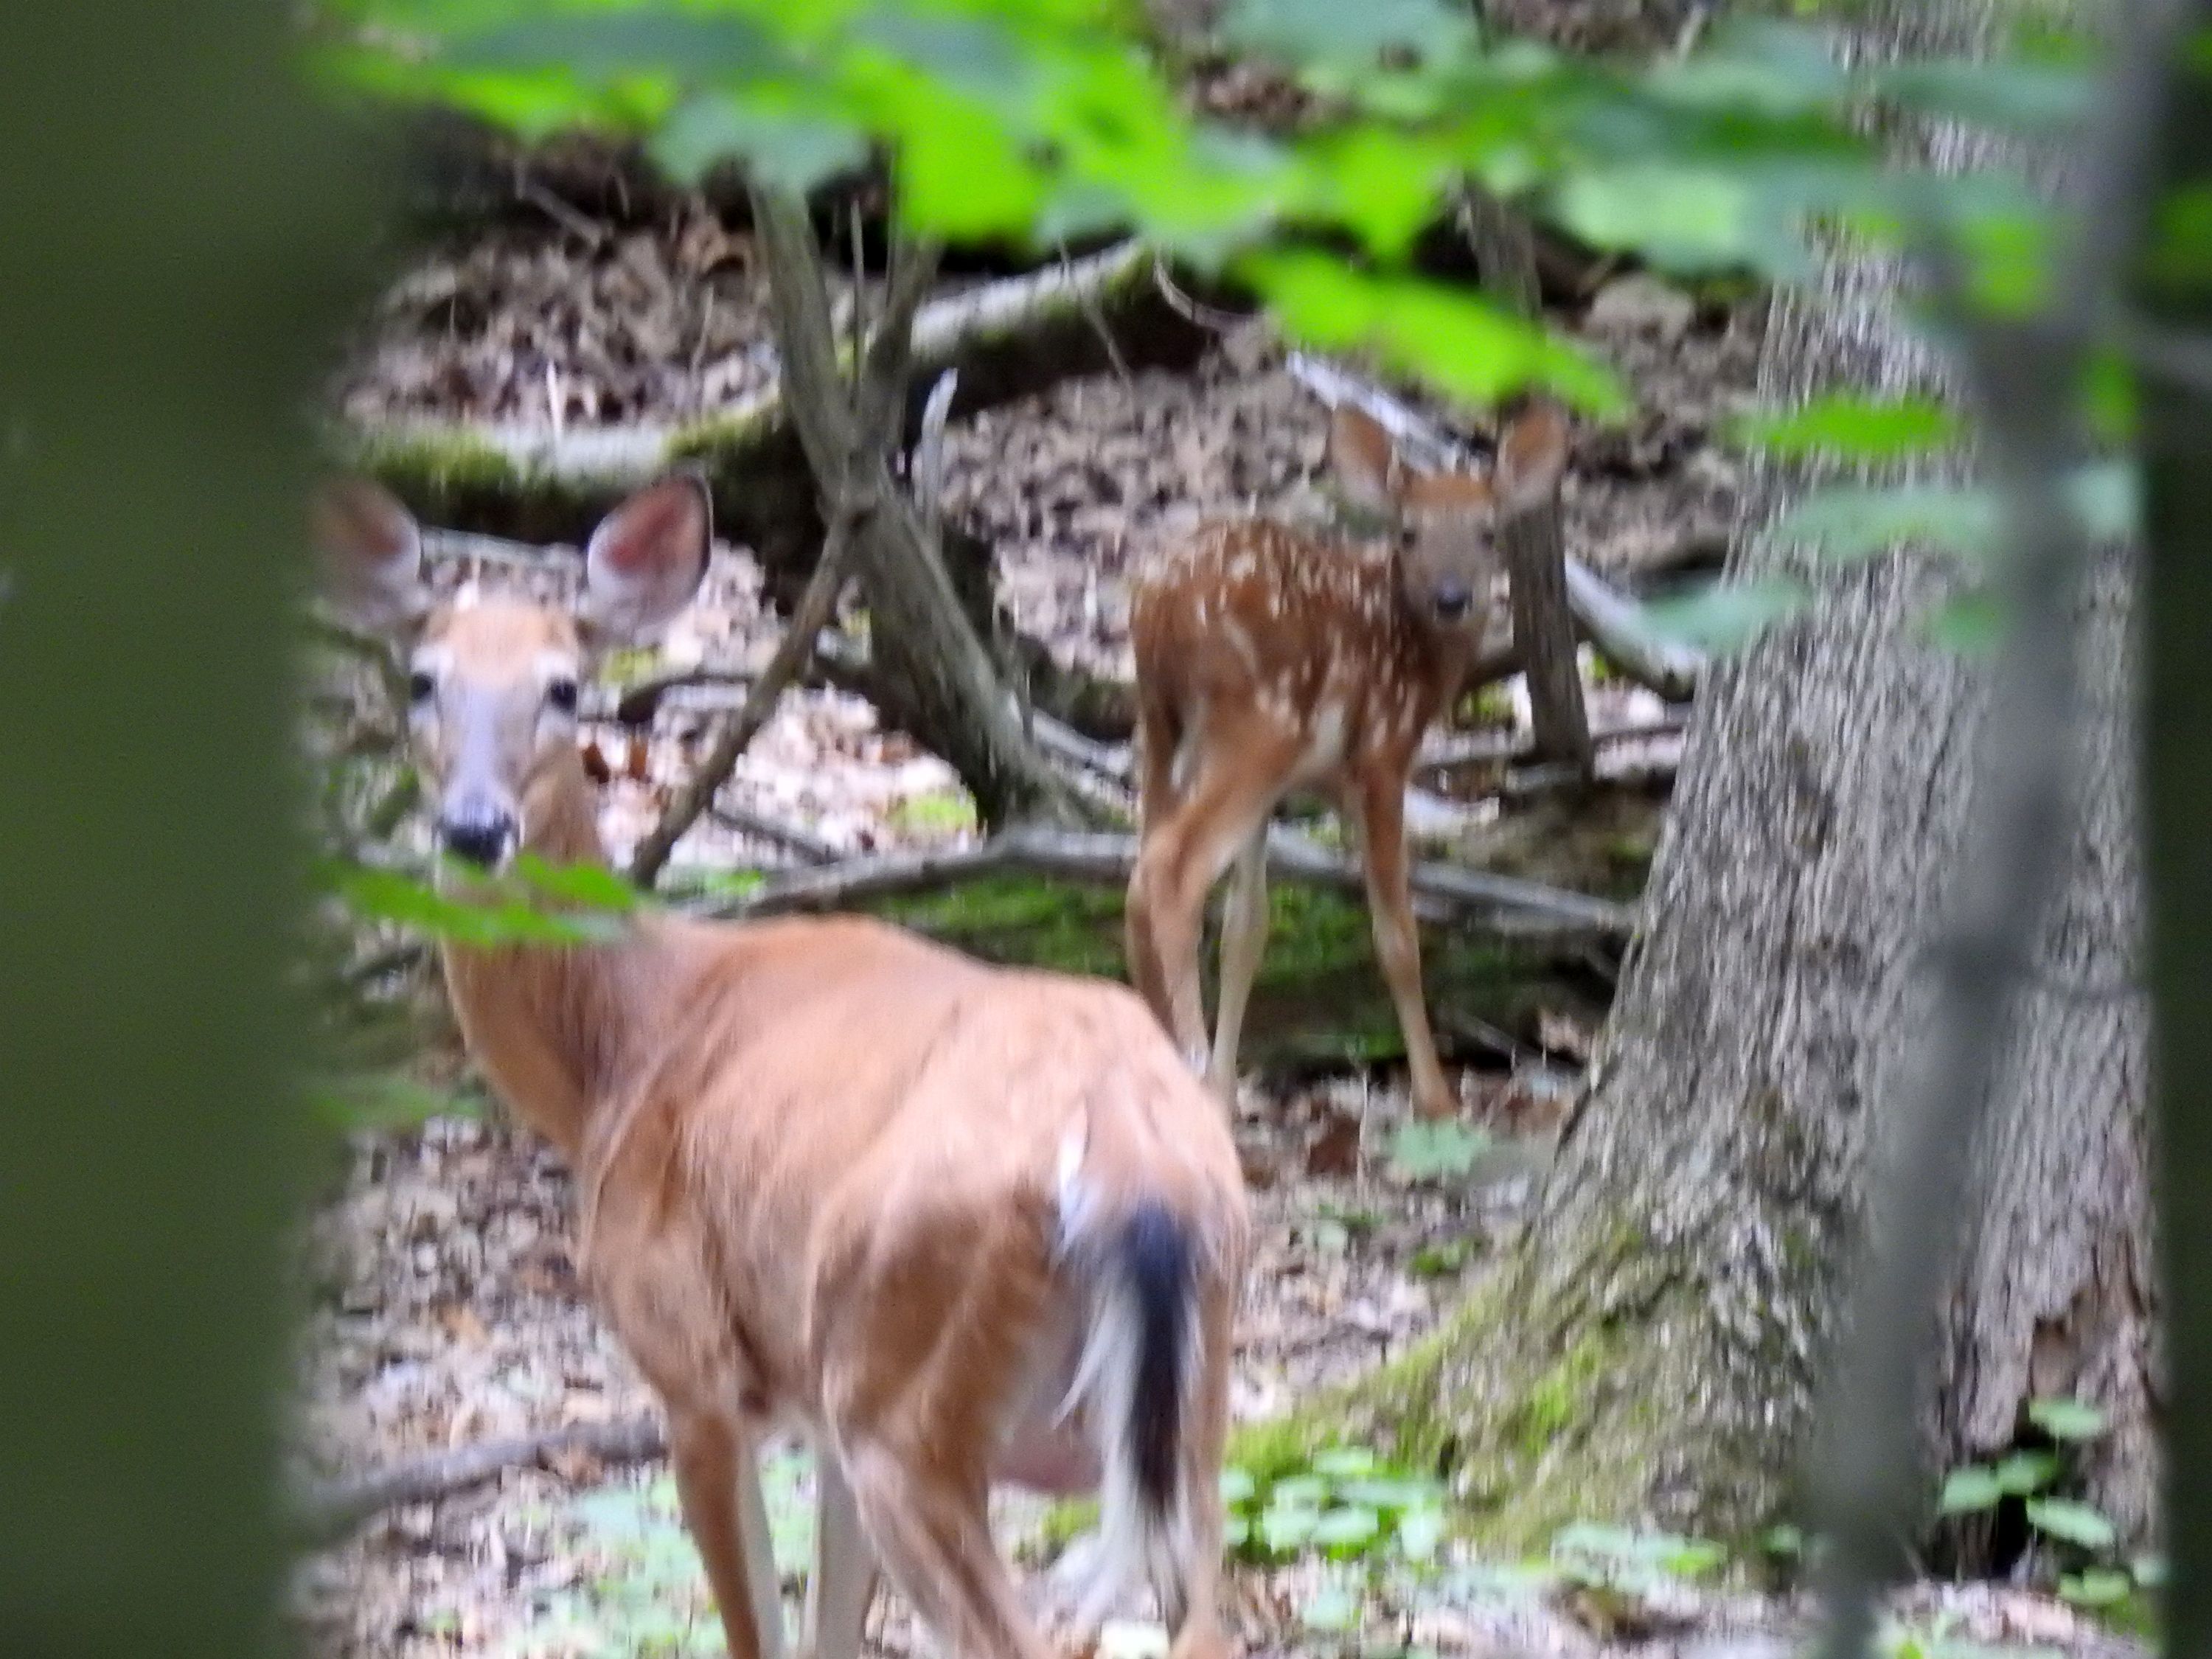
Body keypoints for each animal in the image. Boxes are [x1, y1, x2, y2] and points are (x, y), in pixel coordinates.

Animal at [313, 472, 1249, 1659]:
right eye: (422, 678)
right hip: (1186, 1419)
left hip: (904, 1385)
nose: (476, 827)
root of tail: (1138, 1163)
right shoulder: (811, 1411)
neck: (618, 1048)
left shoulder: (694, 1370)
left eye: (565, 686)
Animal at [1124, 400, 1568, 1122]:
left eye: (1489, 533)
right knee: (1170, 870)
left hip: (1161, 728)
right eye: (1408, 533)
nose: (1453, 599)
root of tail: (1157, 610)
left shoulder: (1286, 789)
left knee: (1140, 873)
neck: (1415, 658)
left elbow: (1247, 929)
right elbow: (1397, 937)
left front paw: (1225, 1093)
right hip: (1258, 725)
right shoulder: (1381, 757)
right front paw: (1436, 1099)